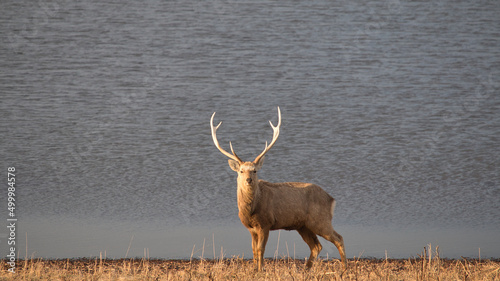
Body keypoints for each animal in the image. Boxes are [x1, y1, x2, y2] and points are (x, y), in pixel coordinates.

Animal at [209, 106, 346, 270]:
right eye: (241, 171)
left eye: (254, 170)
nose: (248, 179)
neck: (250, 210)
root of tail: (331, 199)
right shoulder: (250, 228)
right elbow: (253, 249)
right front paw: (254, 269)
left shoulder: (266, 223)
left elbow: (261, 249)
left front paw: (260, 269)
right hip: (303, 225)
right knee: (316, 246)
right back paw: (306, 269)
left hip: (320, 220)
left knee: (338, 238)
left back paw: (345, 268)